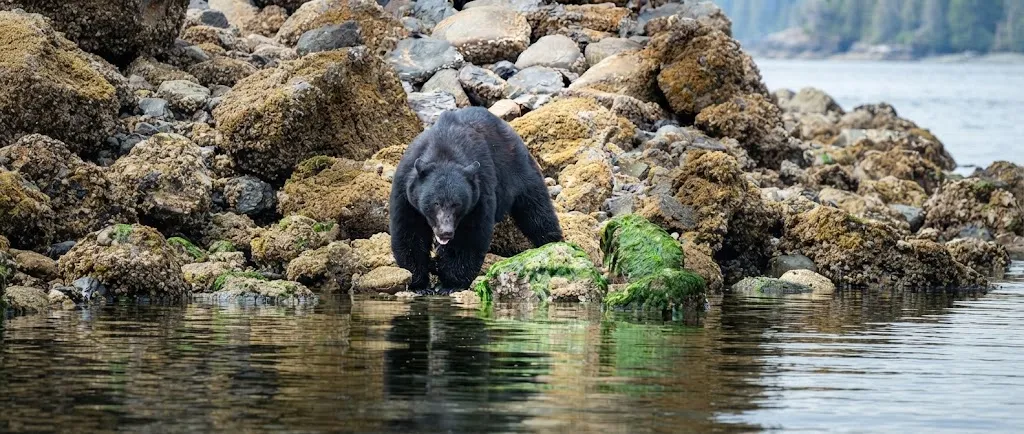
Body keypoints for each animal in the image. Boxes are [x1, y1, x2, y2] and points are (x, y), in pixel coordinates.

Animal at [389, 107, 563, 293]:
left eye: (457, 204)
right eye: (435, 203)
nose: (446, 232)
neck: (444, 150)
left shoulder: (479, 193)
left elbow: (469, 236)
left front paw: (451, 284)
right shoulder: (405, 192)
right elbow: (409, 232)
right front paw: (419, 284)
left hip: (517, 169)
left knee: (536, 210)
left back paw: (552, 243)